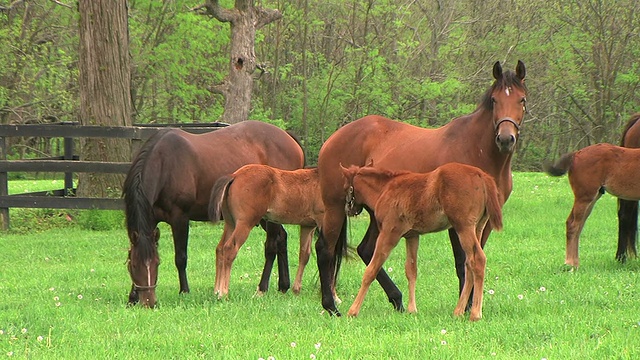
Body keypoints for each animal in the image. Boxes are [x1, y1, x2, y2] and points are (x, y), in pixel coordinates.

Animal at [125, 121, 308, 306]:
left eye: (157, 263)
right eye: (133, 266)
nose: (149, 302)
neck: (165, 164)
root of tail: (288, 136)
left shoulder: (180, 218)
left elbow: (181, 258)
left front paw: (184, 291)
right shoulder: (151, 220)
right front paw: (132, 297)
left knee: (271, 246)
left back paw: (263, 287)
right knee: (281, 238)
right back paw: (283, 285)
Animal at [342, 163, 502, 320]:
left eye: (345, 187)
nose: (348, 210)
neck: (385, 188)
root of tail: (482, 176)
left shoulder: (389, 234)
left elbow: (371, 271)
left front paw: (352, 311)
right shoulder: (412, 236)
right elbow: (411, 270)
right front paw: (412, 310)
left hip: (464, 227)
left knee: (478, 259)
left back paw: (475, 314)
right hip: (478, 227)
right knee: (469, 263)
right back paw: (458, 311)